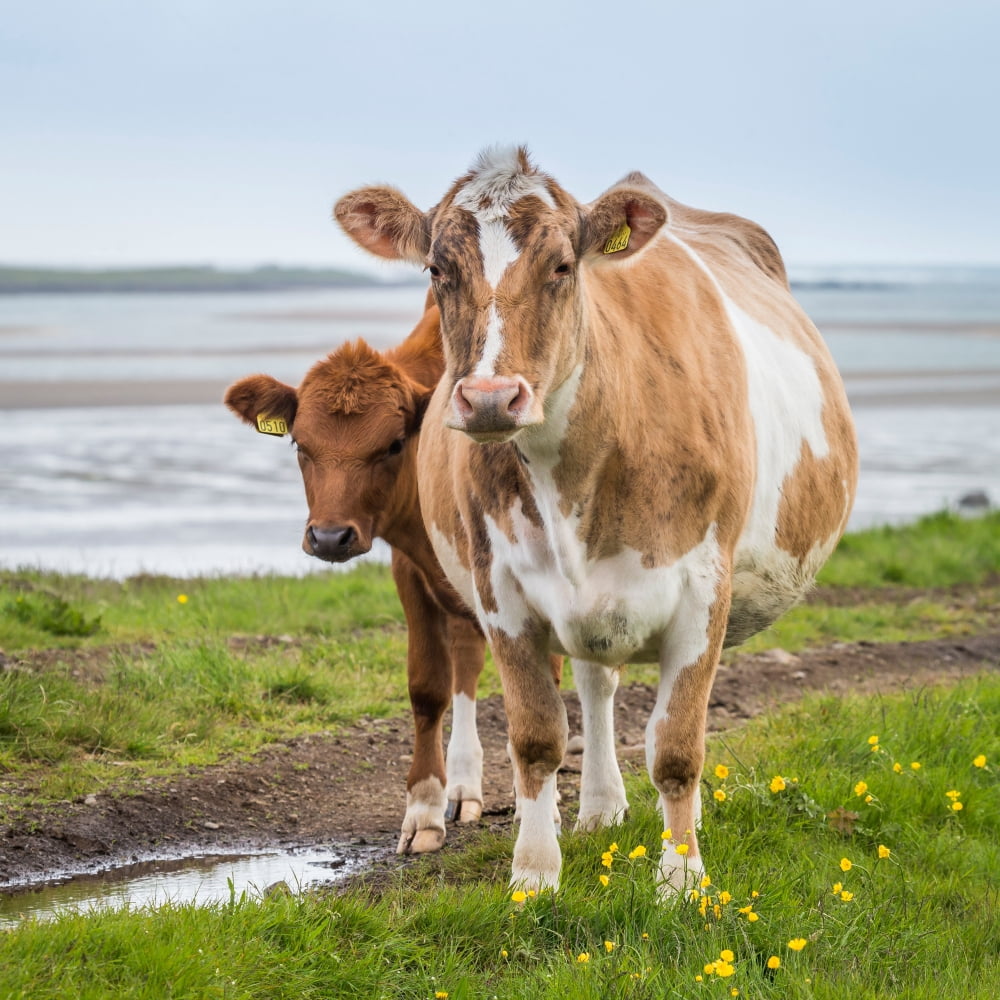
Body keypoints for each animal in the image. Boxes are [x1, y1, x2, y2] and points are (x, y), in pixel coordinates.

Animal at [224, 304, 491, 855]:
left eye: (393, 444)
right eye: (299, 444)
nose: (329, 537)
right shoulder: (411, 571)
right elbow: (427, 688)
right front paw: (424, 812)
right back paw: (463, 787)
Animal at [333, 146, 859, 895]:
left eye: (562, 266)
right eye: (437, 270)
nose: (490, 397)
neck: (575, 479)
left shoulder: (705, 587)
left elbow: (676, 747)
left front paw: (682, 882)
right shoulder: (503, 593)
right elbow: (535, 739)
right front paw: (534, 875)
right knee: (597, 681)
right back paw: (601, 807)